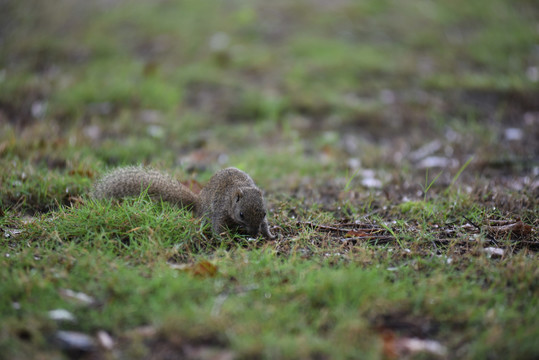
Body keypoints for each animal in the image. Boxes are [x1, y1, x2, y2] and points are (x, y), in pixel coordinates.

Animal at [90, 166, 276, 239]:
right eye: (241, 214)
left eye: (264, 213)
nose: (254, 233)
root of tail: (198, 202)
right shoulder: (220, 211)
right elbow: (218, 227)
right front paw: (225, 240)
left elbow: (265, 225)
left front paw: (270, 235)